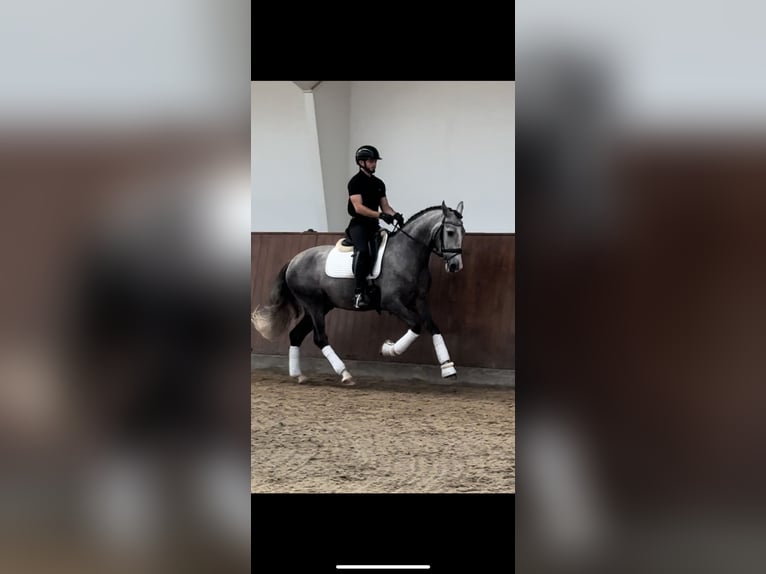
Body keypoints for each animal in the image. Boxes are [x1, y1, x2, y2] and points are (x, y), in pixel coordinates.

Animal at [252, 201, 465, 386]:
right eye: (450, 232)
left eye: (463, 232)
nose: (456, 266)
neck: (406, 253)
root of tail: (294, 260)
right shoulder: (392, 302)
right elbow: (416, 325)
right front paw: (388, 349)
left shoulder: (420, 300)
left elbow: (432, 327)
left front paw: (448, 368)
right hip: (314, 306)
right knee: (320, 338)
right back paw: (345, 374)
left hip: (321, 307)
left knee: (296, 335)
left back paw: (299, 375)